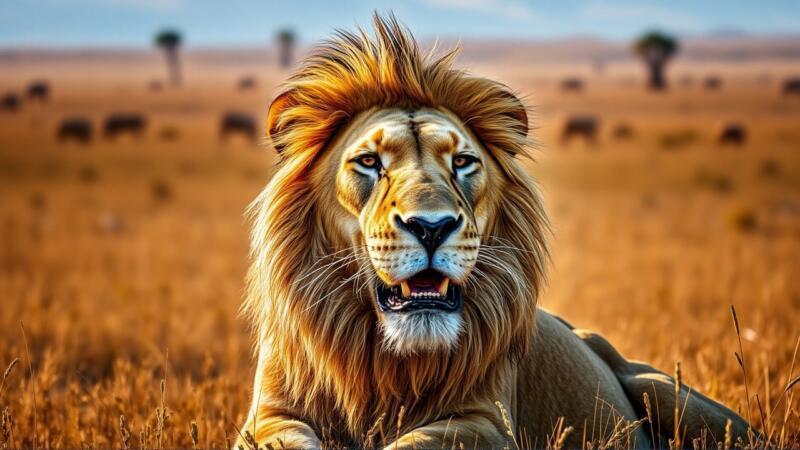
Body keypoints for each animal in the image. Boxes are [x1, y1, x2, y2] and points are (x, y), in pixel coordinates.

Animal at [239, 14, 752, 449]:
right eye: (368, 162)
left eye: (463, 162)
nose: (431, 227)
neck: (384, 362)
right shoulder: (268, 417)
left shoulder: (487, 423)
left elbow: (414, 442)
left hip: (669, 395)